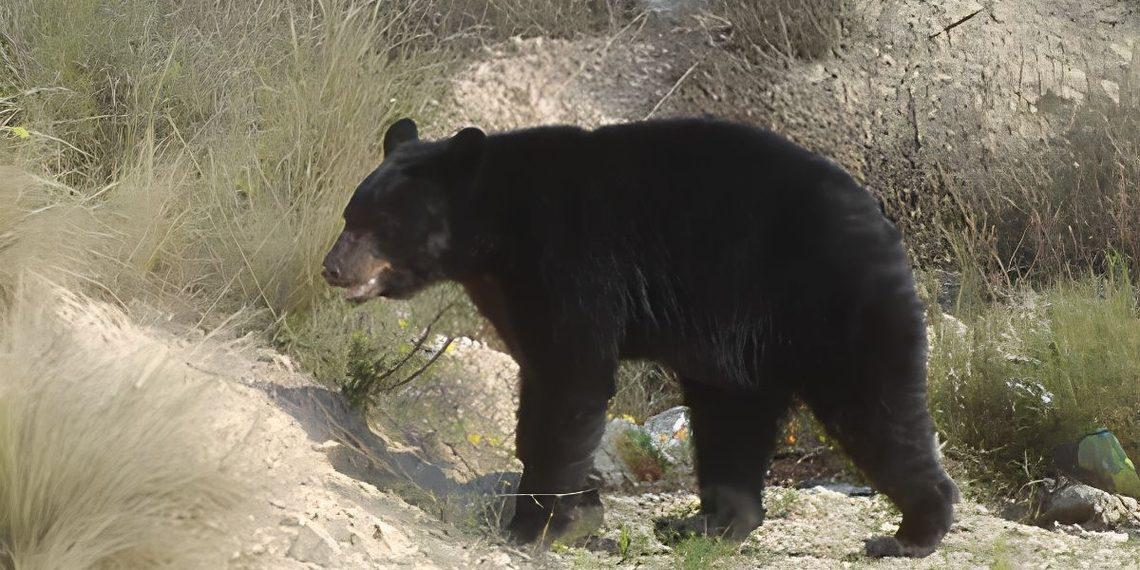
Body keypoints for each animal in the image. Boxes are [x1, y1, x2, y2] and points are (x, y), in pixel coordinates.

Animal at [321, 117, 959, 557]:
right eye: (350, 215)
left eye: (377, 224)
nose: (332, 268)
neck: (496, 231)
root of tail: (882, 219)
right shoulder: (512, 293)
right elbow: (539, 383)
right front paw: (578, 508)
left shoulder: (571, 265)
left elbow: (570, 382)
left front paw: (532, 526)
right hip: (740, 349)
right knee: (733, 420)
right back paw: (708, 524)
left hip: (830, 304)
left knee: (878, 410)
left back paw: (911, 533)